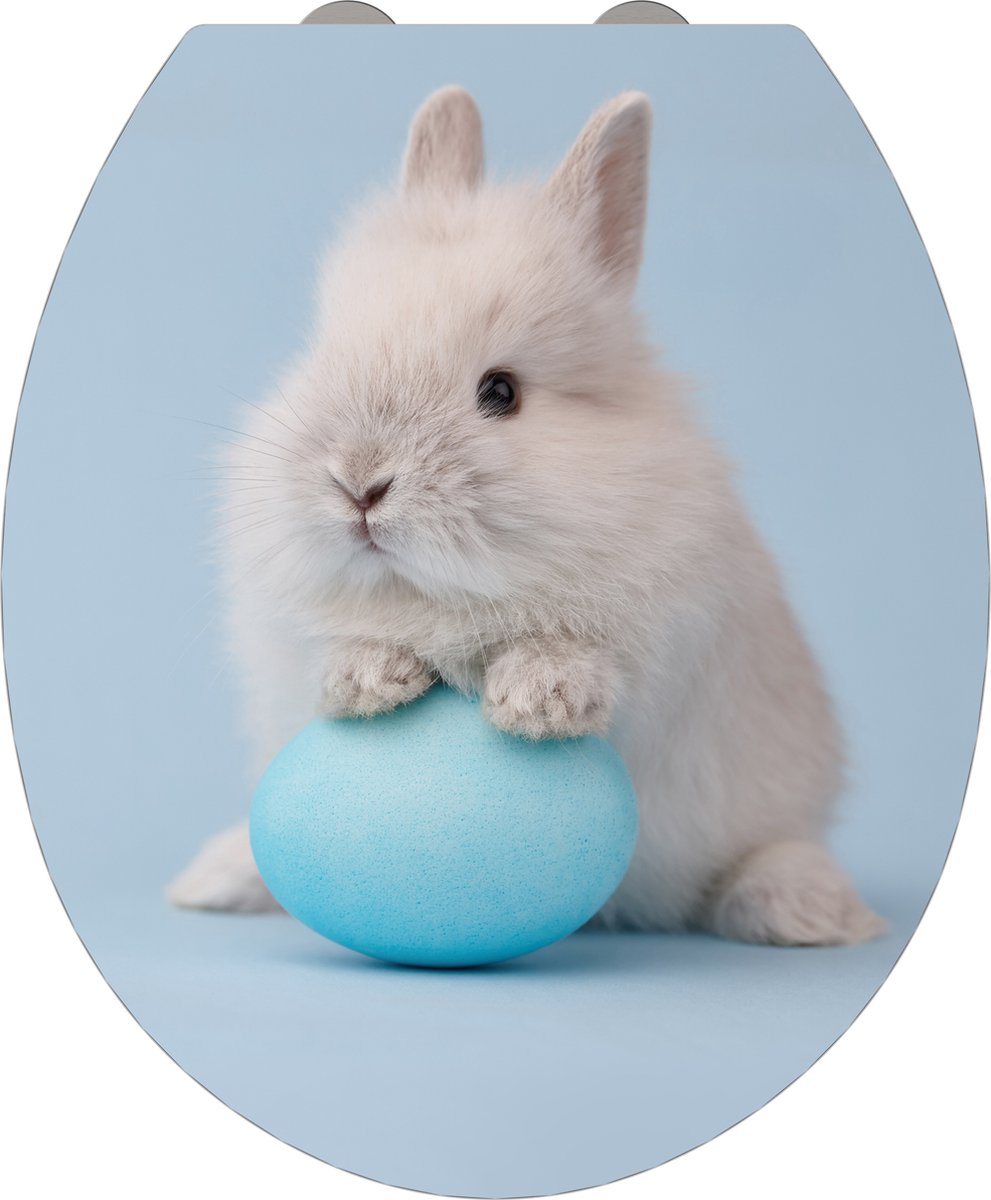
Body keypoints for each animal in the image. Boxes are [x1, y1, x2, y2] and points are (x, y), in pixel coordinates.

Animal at [168, 85, 884, 945]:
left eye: (500, 393)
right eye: (324, 354)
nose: (358, 484)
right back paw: (211, 879)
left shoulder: (665, 641)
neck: (439, 598)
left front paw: (535, 701)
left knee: (754, 859)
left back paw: (814, 910)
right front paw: (370, 678)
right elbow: (331, 654)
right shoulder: (288, 639)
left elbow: (591, 665)